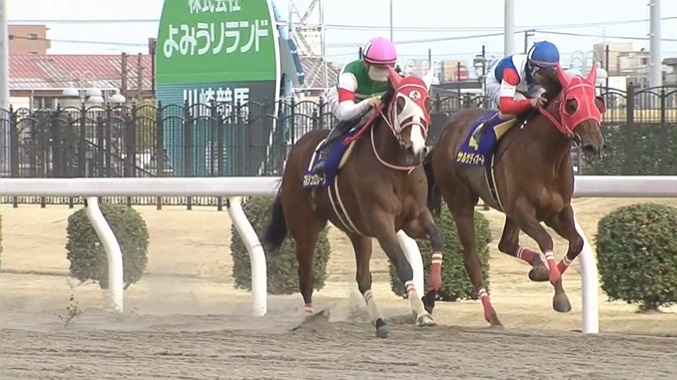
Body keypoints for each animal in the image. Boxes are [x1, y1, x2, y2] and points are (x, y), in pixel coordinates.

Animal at [262, 67, 444, 338]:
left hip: (357, 231)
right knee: (305, 275)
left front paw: (430, 296)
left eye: (427, 102)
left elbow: (437, 238)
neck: (396, 167)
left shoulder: (414, 218)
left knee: (362, 277)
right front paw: (421, 313)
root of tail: (294, 151)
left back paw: (379, 322)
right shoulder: (381, 221)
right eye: (400, 103)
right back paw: (309, 320)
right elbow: (403, 265)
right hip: (305, 227)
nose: (417, 148)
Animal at [426, 62, 604, 326]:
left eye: (597, 102)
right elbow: (546, 240)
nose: (594, 146)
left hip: (507, 210)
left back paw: (536, 266)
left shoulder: (557, 210)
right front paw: (560, 295)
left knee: (506, 244)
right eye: (572, 104)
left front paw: (543, 273)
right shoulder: (523, 209)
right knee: (472, 258)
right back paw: (491, 315)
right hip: (460, 201)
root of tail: (444, 132)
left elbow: (577, 243)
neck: (546, 155)